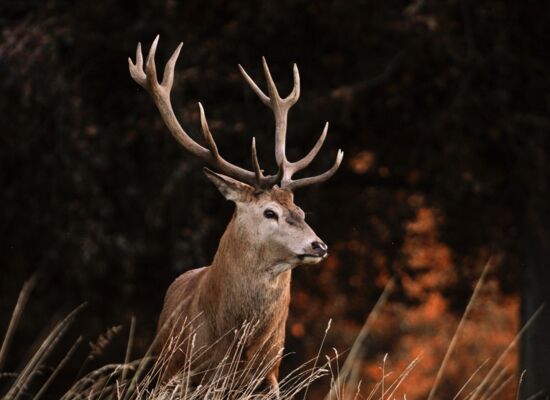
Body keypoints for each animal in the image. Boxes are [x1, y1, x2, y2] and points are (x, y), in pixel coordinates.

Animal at [129, 36, 344, 396]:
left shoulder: (268, 376)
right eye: (269, 212)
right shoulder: (182, 372)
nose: (319, 245)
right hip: (160, 366)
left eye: (301, 211)